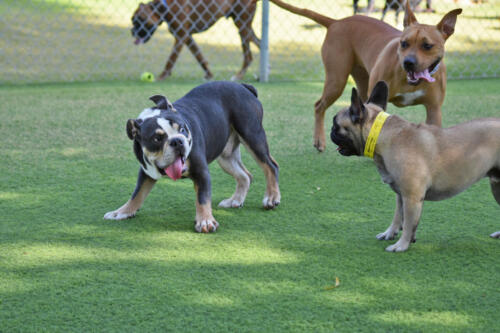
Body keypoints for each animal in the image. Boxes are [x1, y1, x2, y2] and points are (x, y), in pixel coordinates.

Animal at [131, 0, 260, 80]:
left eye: (141, 19)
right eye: (133, 20)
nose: (132, 31)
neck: (167, 6)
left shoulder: (181, 36)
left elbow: (170, 60)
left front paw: (161, 77)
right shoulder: (187, 37)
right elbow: (199, 57)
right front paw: (209, 75)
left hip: (242, 24)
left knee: (249, 56)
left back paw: (239, 76)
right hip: (244, 27)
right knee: (260, 42)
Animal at [270, 0, 460, 151]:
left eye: (427, 46)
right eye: (404, 43)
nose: (409, 62)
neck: (411, 81)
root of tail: (336, 22)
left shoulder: (434, 110)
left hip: (361, 85)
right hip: (336, 81)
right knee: (319, 106)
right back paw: (319, 140)